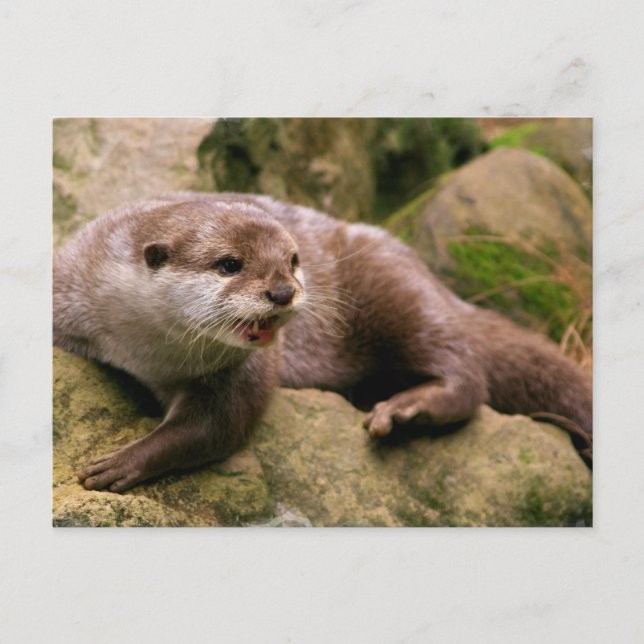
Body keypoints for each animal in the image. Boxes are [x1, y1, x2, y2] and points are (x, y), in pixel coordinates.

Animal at [53, 193, 592, 493]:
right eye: (229, 264)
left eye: (293, 260)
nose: (282, 291)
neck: (144, 350)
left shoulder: (243, 371)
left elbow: (217, 425)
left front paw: (123, 462)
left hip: (397, 288)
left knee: (466, 374)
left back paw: (405, 409)